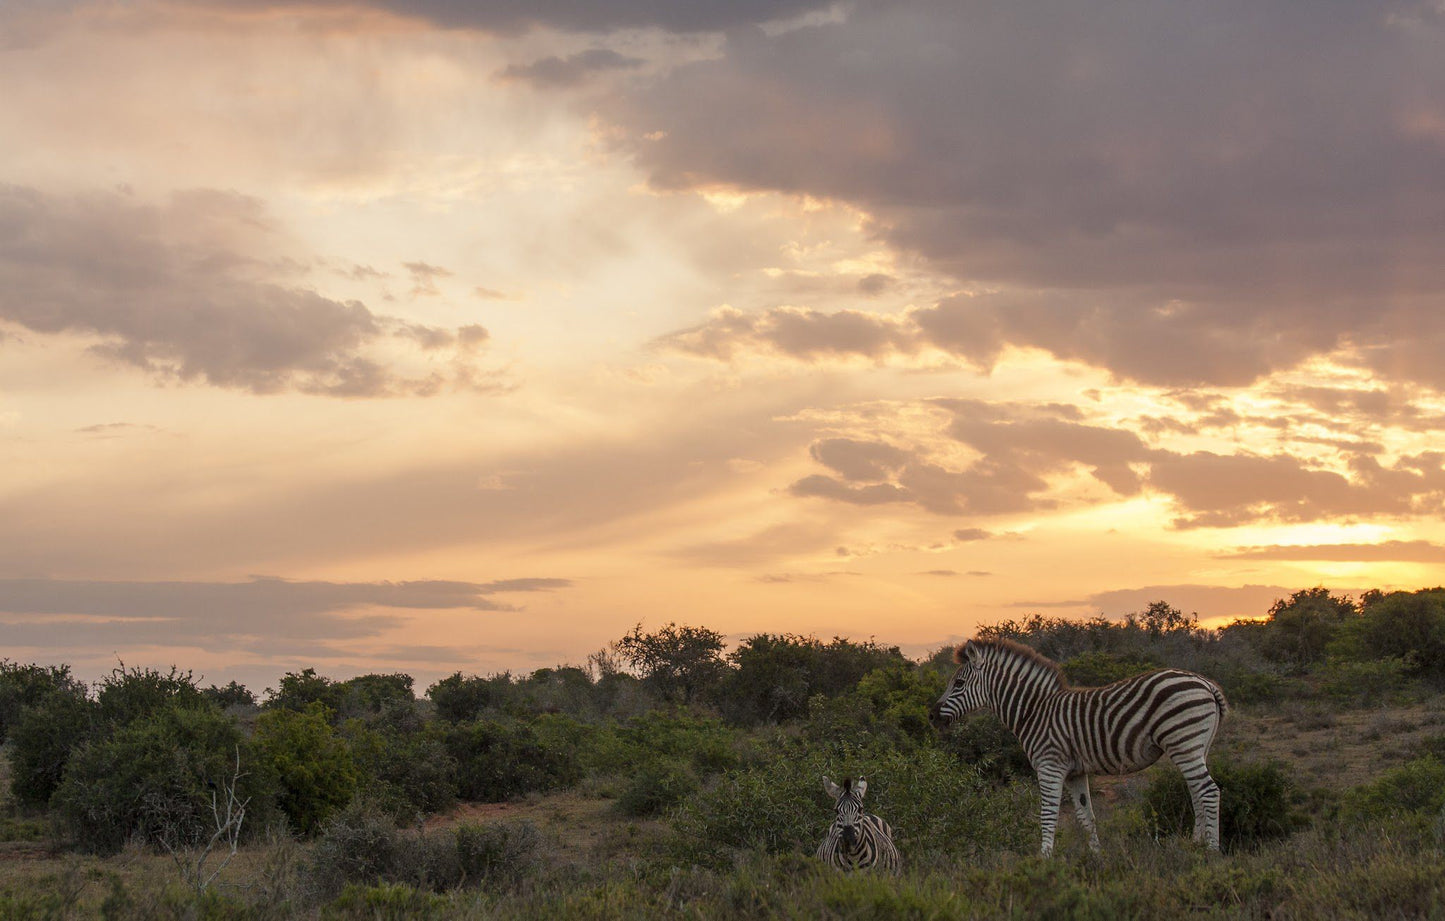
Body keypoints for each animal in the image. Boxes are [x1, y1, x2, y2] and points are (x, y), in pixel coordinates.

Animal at [930, 639, 1225, 855]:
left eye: (958, 683)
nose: (931, 716)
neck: (1034, 712)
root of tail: (1206, 682)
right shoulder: (1075, 772)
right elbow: (1086, 817)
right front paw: (1097, 858)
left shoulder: (1050, 766)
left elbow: (1048, 815)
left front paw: (1044, 860)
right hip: (1196, 748)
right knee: (1196, 793)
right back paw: (1195, 845)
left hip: (1183, 742)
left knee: (1208, 792)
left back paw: (1211, 852)